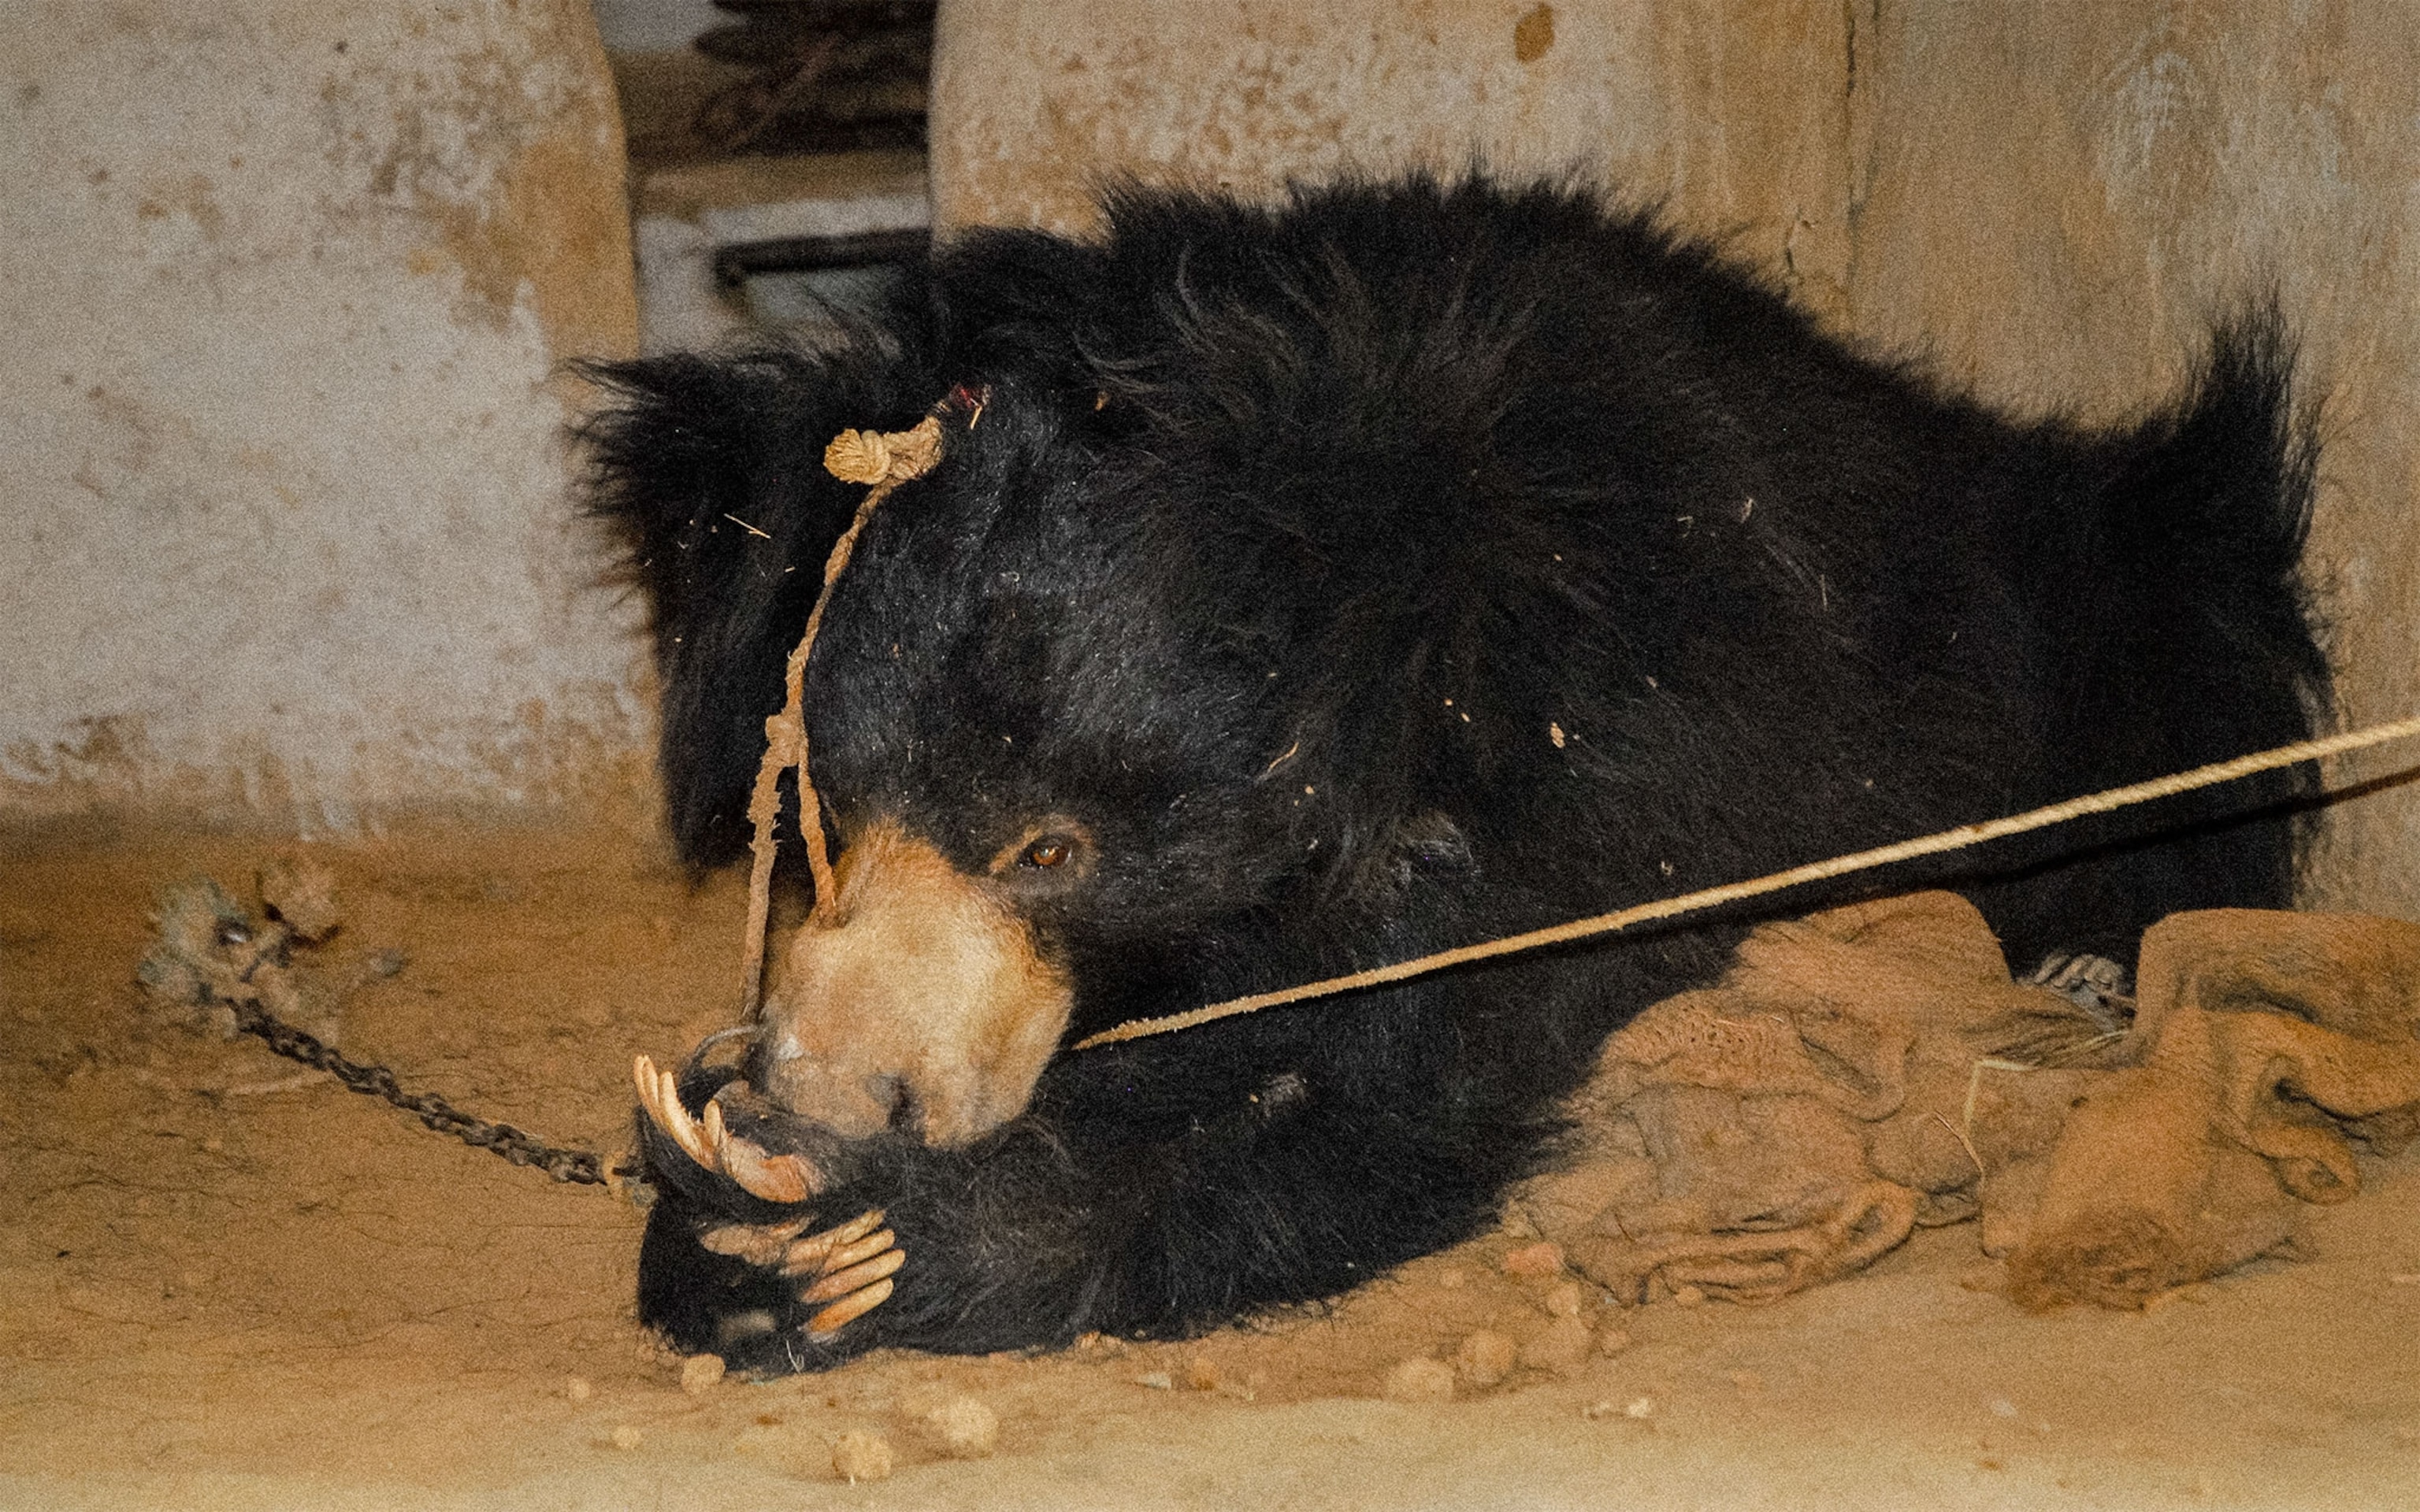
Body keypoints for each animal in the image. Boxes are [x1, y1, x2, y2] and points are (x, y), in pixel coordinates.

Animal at [578, 174, 2329, 1374]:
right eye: (835, 805)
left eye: (1053, 851)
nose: (832, 1092)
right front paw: (736, 1195)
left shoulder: (1644, 782)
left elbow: (1404, 1088)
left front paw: (854, 1240)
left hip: (2143, 620)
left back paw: (2092, 966)